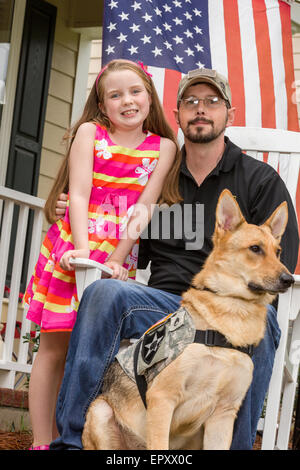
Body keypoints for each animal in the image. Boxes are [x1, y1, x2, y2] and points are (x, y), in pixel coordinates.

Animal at [81, 189, 292, 450]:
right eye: (255, 248)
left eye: (278, 252)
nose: (289, 279)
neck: (233, 314)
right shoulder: (162, 398)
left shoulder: (223, 415)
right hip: (100, 411)